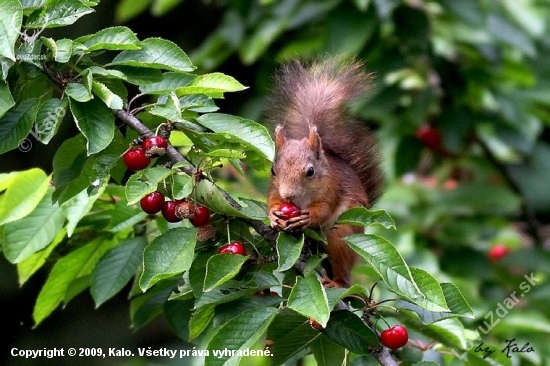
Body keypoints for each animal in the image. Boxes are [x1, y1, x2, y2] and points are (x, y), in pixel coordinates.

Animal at [268, 57, 384, 288]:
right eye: (273, 170)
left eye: (310, 171)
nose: (289, 195)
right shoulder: (275, 189)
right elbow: (272, 199)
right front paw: (274, 214)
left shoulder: (331, 189)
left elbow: (323, 209)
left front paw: (306, 217)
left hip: (342, 234)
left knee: (343, 267)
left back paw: (337, 282)